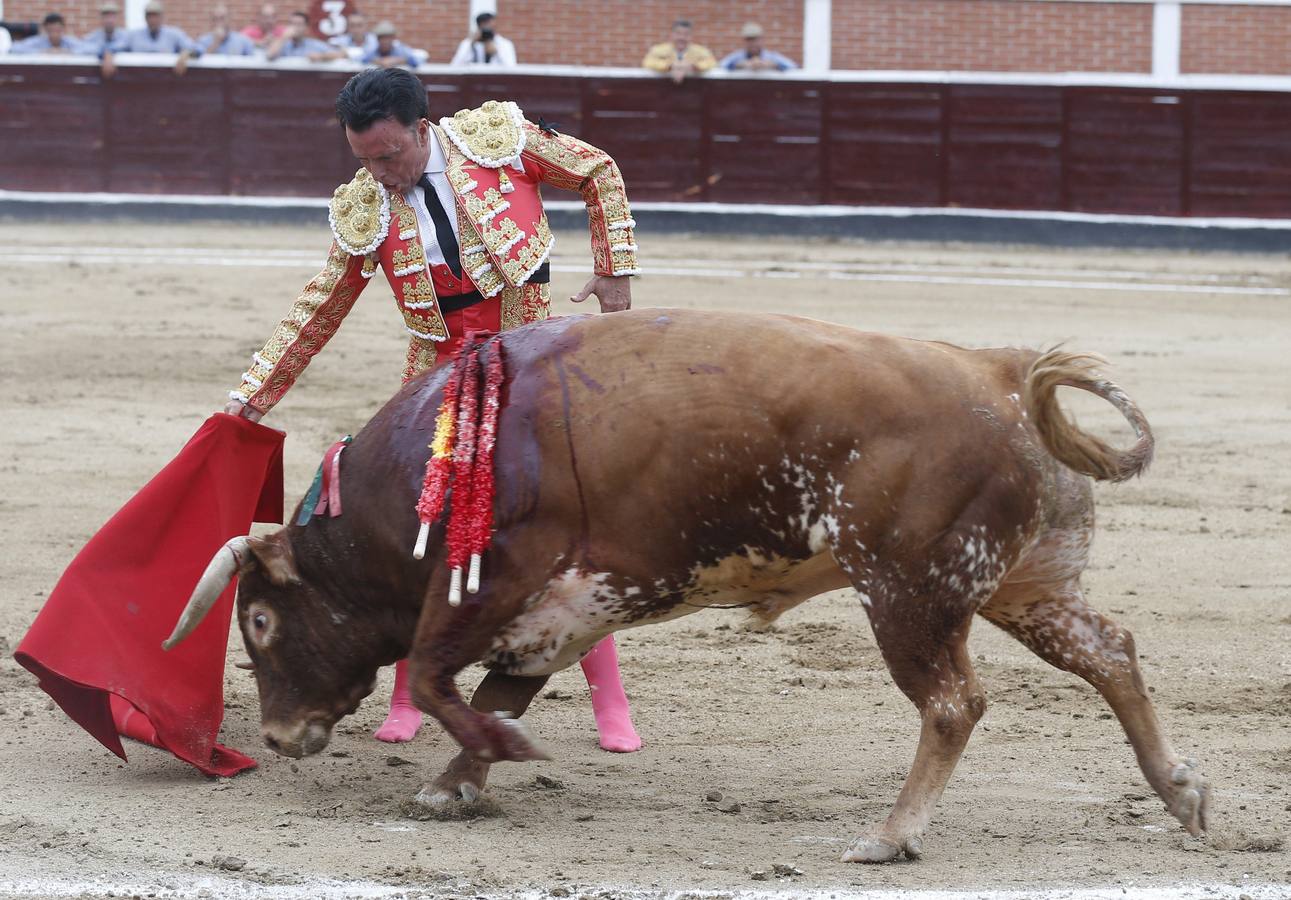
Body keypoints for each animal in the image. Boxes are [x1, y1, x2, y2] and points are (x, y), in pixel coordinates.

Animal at [161, 311, 1208, 862]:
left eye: (261, 619)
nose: (278, 737)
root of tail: (1001, 370)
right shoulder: (569, 605)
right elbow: (489, 687)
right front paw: (456, 783)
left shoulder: (495, 583)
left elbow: (431, 674)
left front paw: (490, 758)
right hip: (1020, 582)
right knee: (1109, 653)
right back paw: (1181, 793)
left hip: (908, 589)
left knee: (953, 702)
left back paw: (890, 835)